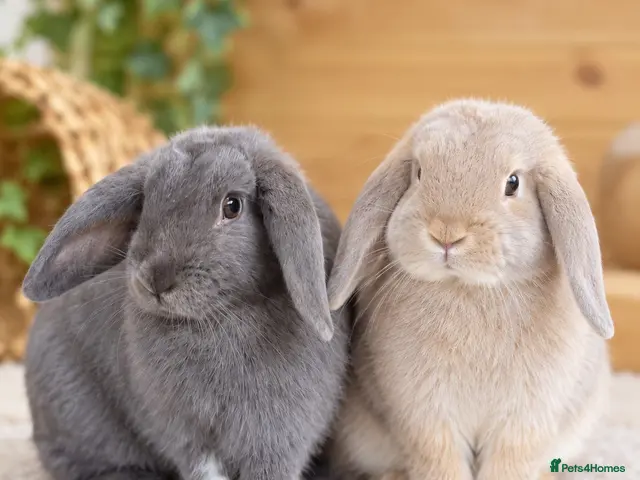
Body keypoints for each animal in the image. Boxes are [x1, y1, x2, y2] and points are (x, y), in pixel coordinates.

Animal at [21, 125, 350, 480]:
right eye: (146, 204)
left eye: (232, 205)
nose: (155, 279)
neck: (219, 319)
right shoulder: (189, 435)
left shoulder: (278, 435)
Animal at [325, 99, 614, 480]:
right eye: (419, 173)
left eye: (513, 183)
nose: (446, 233)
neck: (467, 289)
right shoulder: (425, 417)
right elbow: (441, 462)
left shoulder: (524, 421)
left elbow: (508, 465)